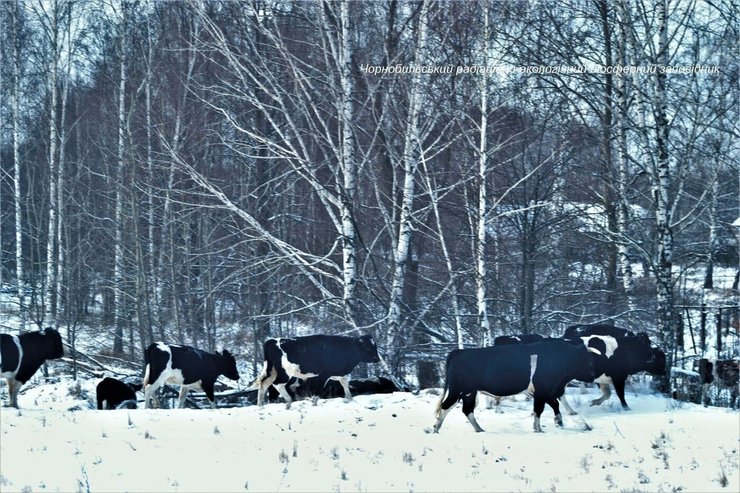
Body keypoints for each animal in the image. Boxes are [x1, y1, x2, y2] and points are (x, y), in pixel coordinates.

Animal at [433, 339, 597, 433]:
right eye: (586, 360)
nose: (592, 375)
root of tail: (459, 351)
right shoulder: (542, 391)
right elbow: (539, 409)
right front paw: (538, 429)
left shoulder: (546, 391)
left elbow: (554, 405)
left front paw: (559, 421)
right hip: (457, 390)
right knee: (446, 407)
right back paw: (436, 429)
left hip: (469, 392)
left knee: (467, 410)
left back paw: (479, 429)